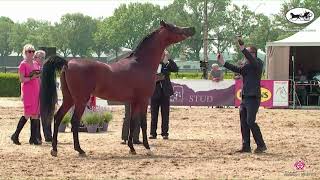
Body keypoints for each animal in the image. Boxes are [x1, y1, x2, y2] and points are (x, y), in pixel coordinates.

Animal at [40, 20, 195, 157]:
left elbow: (132, 123)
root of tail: (67, 63)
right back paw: (80, 150)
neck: (141, 64)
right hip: (80, 100)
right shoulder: (144, 100)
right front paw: (148, 148)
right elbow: (143, 123)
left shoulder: (134, 101)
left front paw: (132, 148)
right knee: (74, 121)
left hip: (69, 98)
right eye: (174, 27)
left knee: (58, 117)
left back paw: (54, 150)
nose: (191, 29)